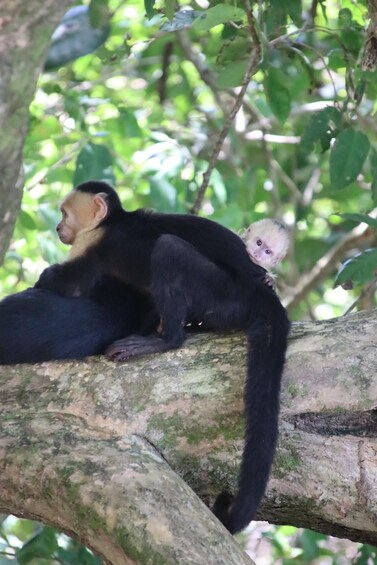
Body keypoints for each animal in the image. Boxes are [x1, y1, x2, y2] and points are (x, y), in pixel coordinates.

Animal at [35, 181, 290, 532]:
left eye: (64, 213)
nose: (59, 228)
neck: (111, 222)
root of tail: (259, 291)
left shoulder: (93, 243)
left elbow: (65, 285)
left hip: (225, 296)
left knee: (169, 249)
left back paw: (165, 339)